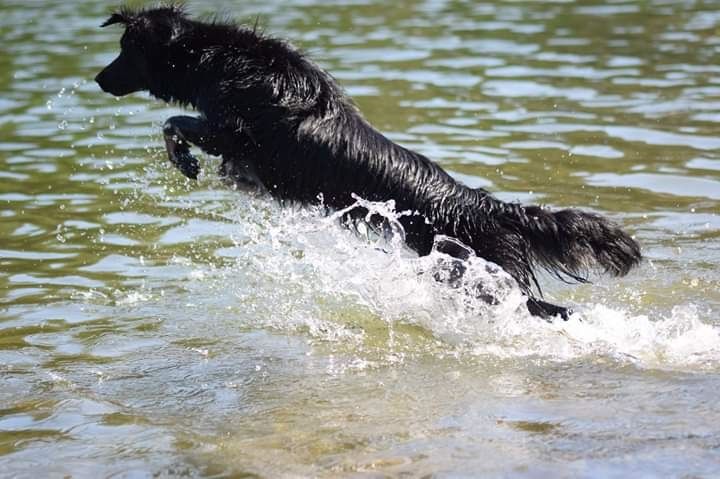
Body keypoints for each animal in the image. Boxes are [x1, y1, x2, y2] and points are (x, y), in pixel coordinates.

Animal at [95, 6, 640, 318]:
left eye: (124, 49)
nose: (98, 80)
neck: (216, 58)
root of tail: (491, 208)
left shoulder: (238, 133)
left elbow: (175, 122)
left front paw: (183, 159)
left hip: (476, 273)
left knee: (543, 307)